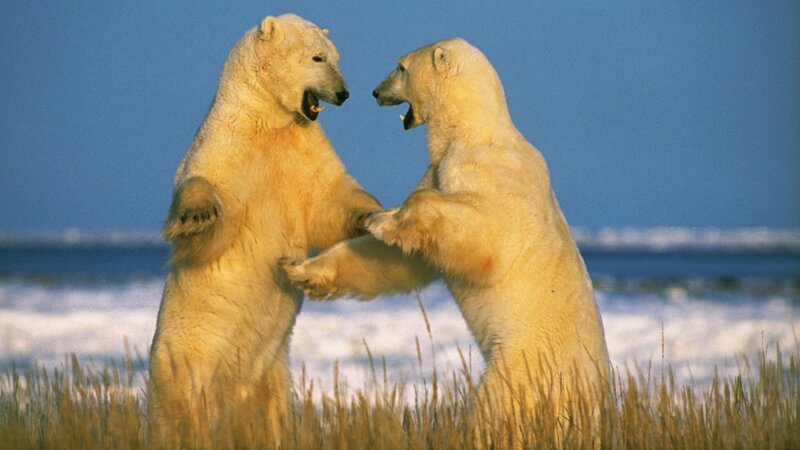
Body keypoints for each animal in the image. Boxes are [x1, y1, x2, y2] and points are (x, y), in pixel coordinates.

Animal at [147, 14, 380, 443]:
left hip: (272, 370)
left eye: (336, 57)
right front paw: (198, 214)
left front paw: (372, 215)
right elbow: (206, 200)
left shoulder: (301, 145)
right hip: (186, 359)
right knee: (185, 407)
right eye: (317, 57)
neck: (267, 118)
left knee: (272, 409)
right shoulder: (226, 145)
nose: (343, 93)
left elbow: (329, 196)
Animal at [280, 38, 609, 442]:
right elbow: (401, 259)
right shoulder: (438, 170)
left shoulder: (483, 171)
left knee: (498, 408)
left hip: (527, 365)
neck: (470, 131)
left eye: (400, 66)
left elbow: (489, 239)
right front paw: (302, 267)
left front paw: (385, 220)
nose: (374, 92)